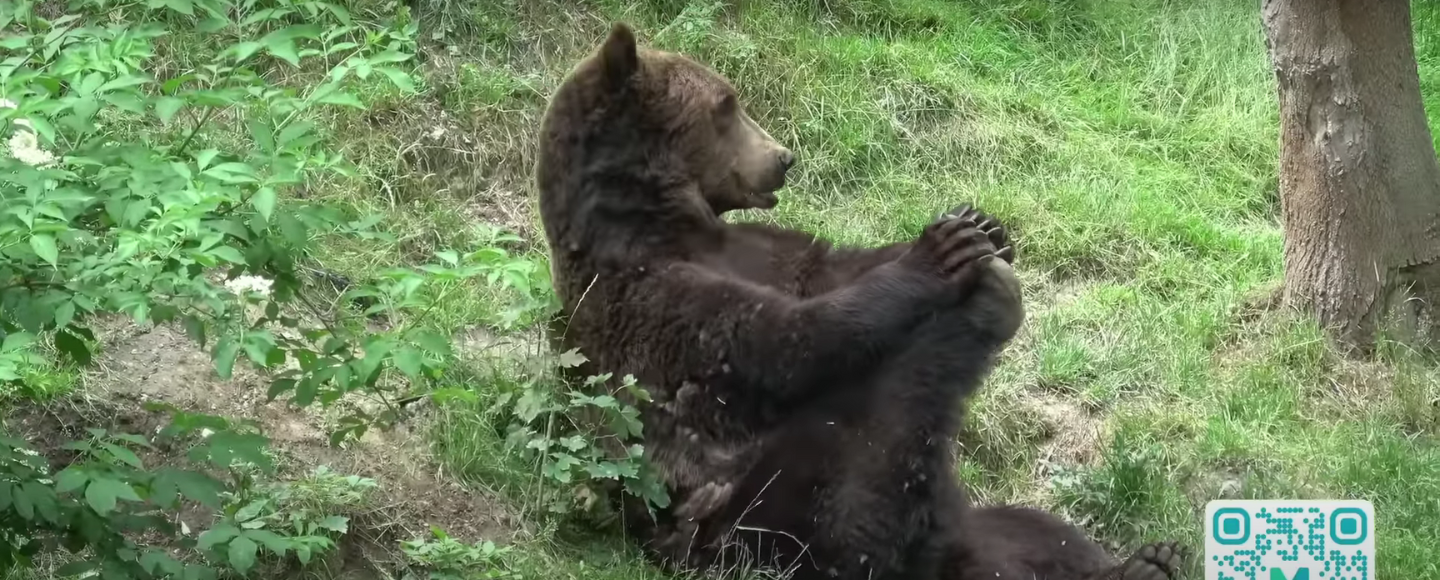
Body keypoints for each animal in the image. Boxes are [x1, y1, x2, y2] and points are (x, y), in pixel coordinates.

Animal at [535, 21, 1186, 580]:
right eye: (726, 105)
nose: (782, 158)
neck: (665, 219)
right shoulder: (648, 298)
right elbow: (783, 341)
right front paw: (939, 251)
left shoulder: (758, 249)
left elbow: (828, 267)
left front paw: (981, 225)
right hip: (755, 525)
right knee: (865, 456)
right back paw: (988, 309)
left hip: (973, 528)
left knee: (1037, 532)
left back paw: (1144, 562)